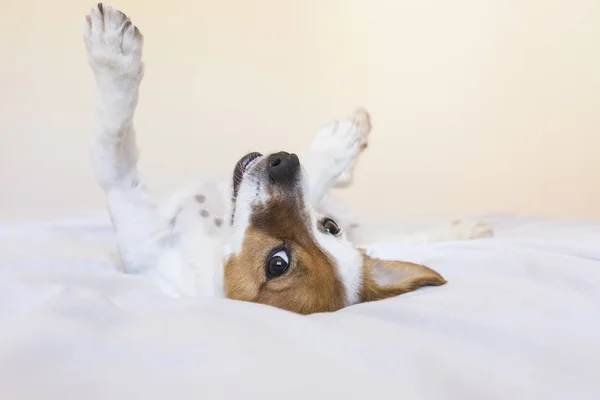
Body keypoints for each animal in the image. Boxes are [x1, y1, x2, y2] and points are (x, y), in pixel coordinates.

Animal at [81, 3, 492, 316]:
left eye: (277, 263)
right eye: (329, 227)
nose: (284, 162)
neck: (215, 245)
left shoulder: (126, 197)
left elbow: (112, 135)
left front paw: (111, 53)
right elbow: (317, 176)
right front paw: (336, 147)